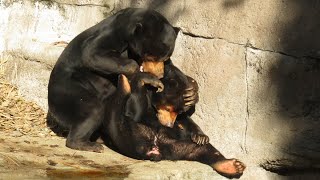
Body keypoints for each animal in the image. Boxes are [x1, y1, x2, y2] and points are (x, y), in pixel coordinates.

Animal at [47, 8, 198, 152]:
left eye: (165, 57)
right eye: (151, 56)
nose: (160, 74)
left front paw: (191, 92)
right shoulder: (113, 34)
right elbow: (92, 53)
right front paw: (150, 78)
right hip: (70, 90)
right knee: (92, 110)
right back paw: (87, 144)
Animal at [102, 74, 245, 178]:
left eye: (178, 111)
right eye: (169, 109)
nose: (169, 124)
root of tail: (155, 150)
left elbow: (187, 121)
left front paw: (201, 136)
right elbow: (134, 110)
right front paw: (148, 80)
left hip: (174, 147)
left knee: (201, 149)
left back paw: (233, 166)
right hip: (130, 133)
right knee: (121, 104)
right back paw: (124, 81)